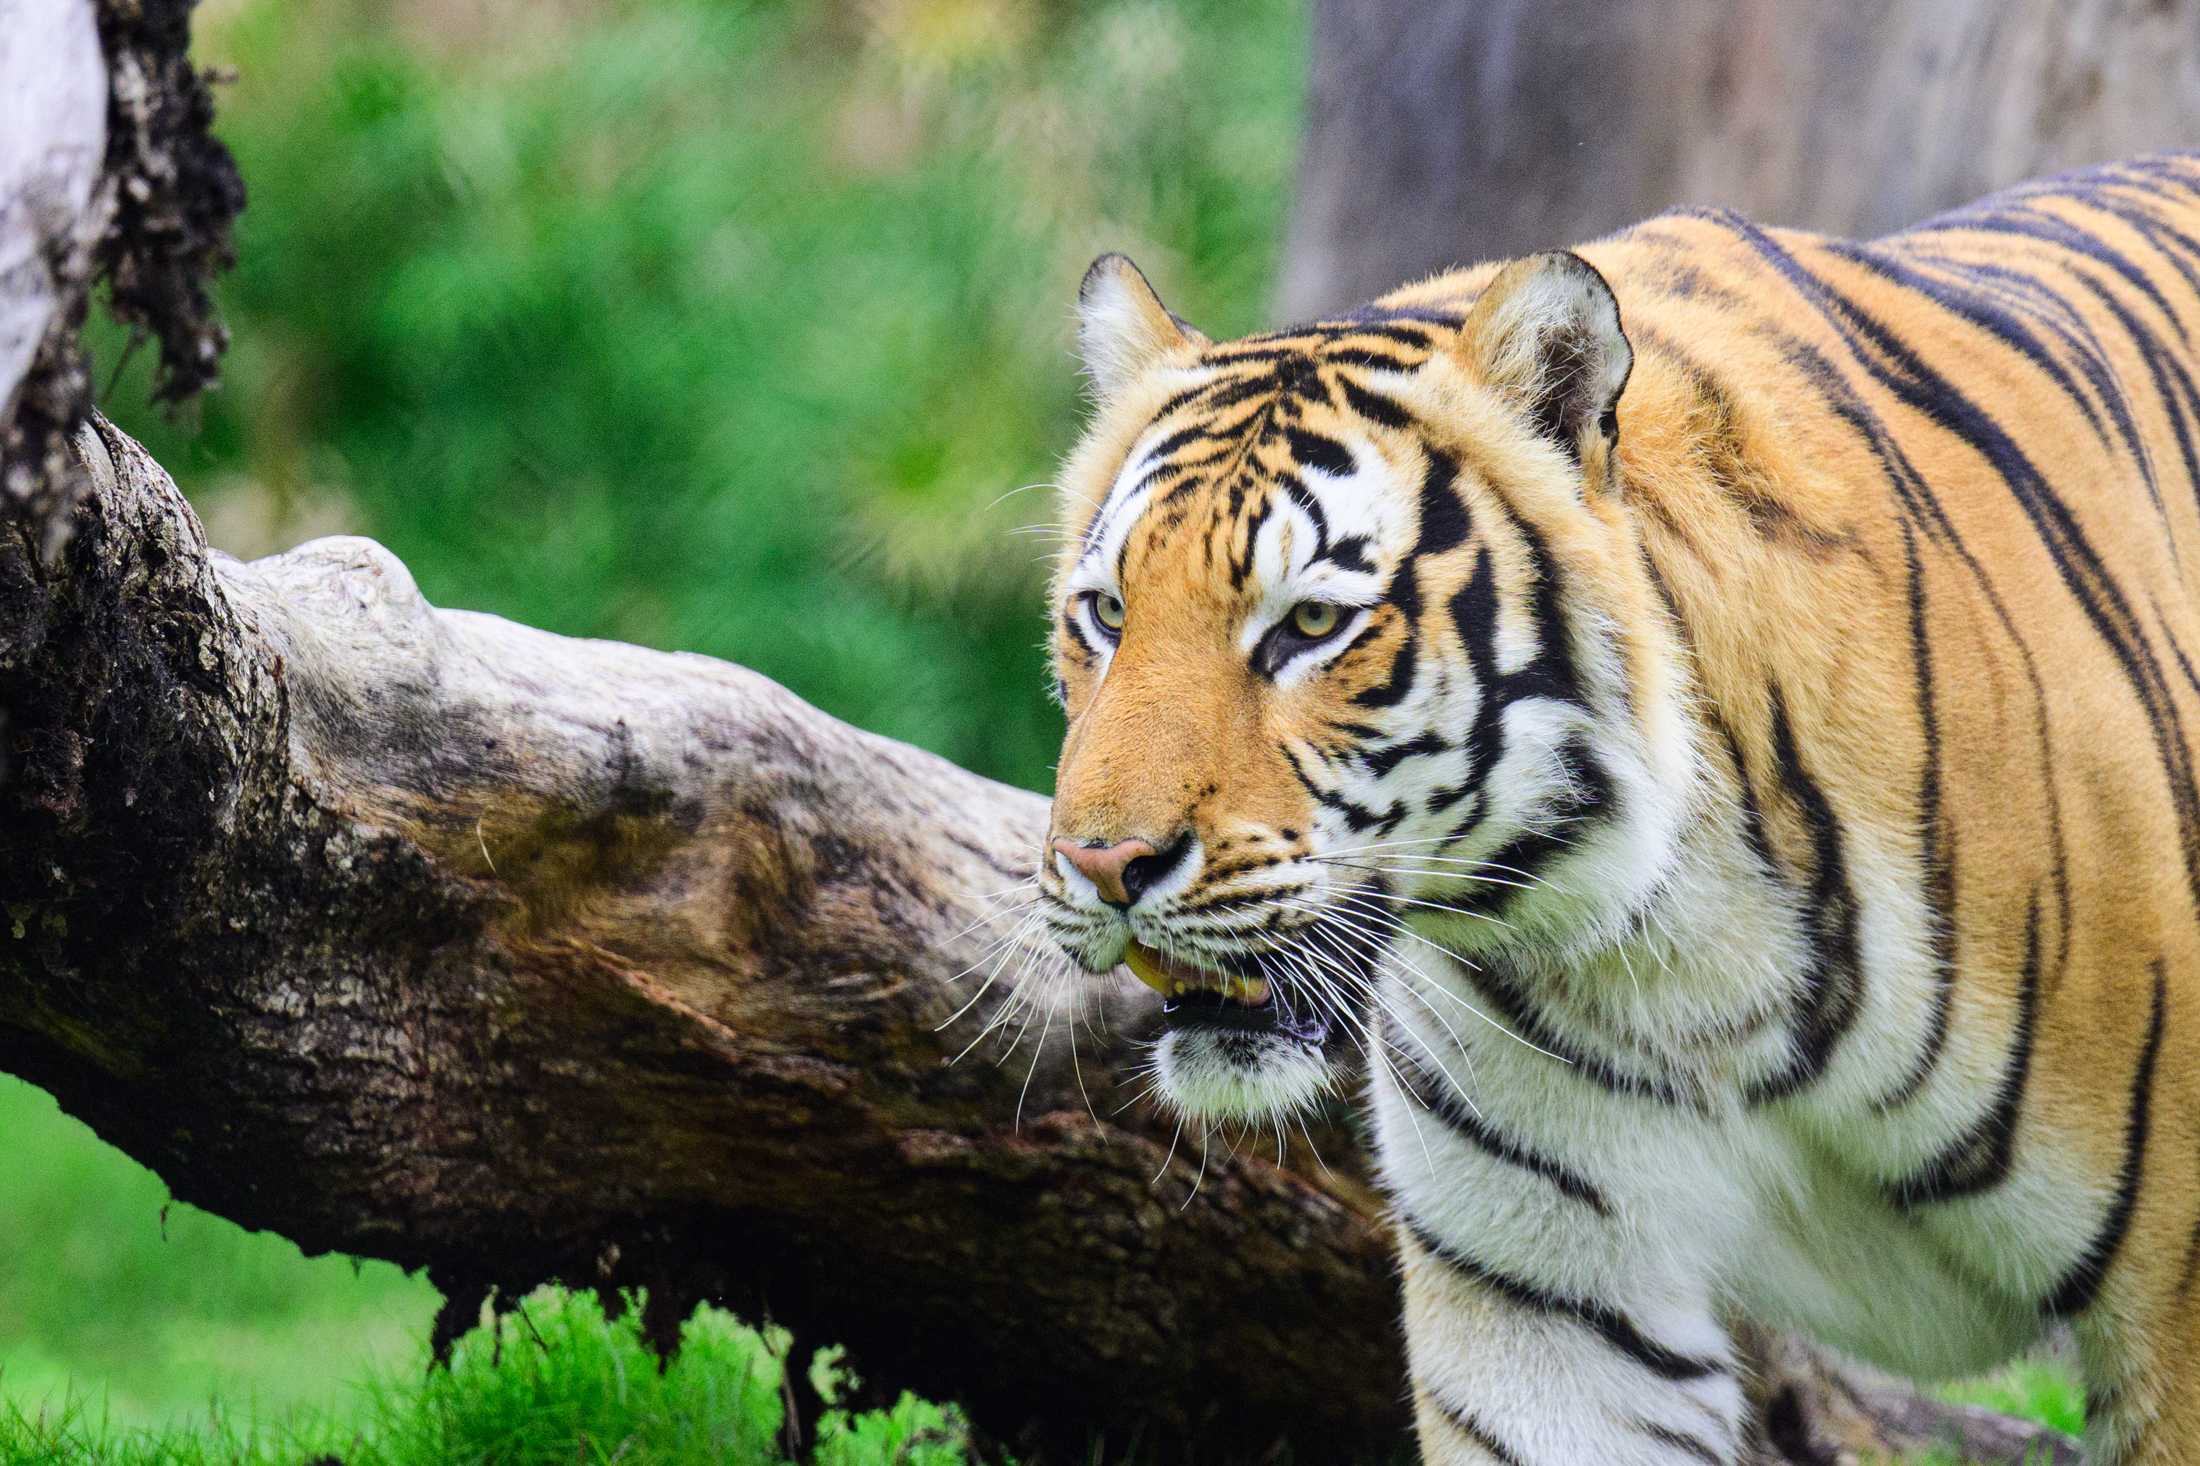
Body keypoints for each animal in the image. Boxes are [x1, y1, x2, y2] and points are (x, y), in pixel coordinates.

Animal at [1034, 154, 2200, 1452]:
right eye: (1107, 612)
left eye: (1311, 623)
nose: (1102, 864)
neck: (1691, 952)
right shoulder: (1552, 1306)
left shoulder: (2176, 1311)